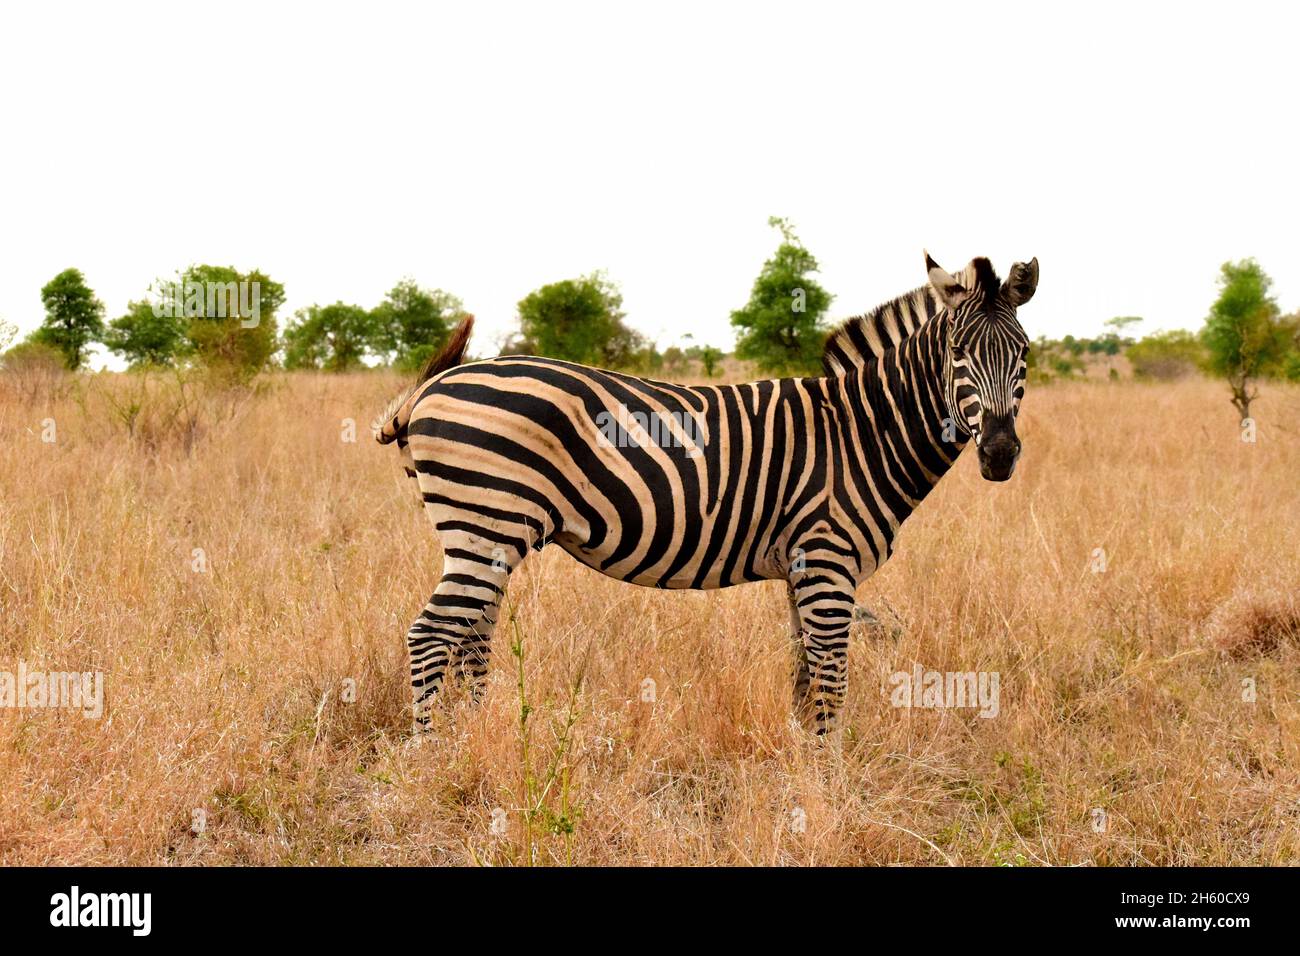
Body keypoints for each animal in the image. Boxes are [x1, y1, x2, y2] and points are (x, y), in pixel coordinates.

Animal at [373, 253, 1039, 734]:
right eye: (958, 352)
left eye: (1025, 353)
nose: (1001, 454)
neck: (862, 431)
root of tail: (436, 383)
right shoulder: (828, 563)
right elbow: (829, 683)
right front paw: (828, 782)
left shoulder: (804, 570)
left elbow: (803, 678)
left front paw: (799, 766)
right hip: (486, 520)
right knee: (431, 634)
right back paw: (434, 753)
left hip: (490, 536)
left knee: (471, 637)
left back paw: (477, 738)